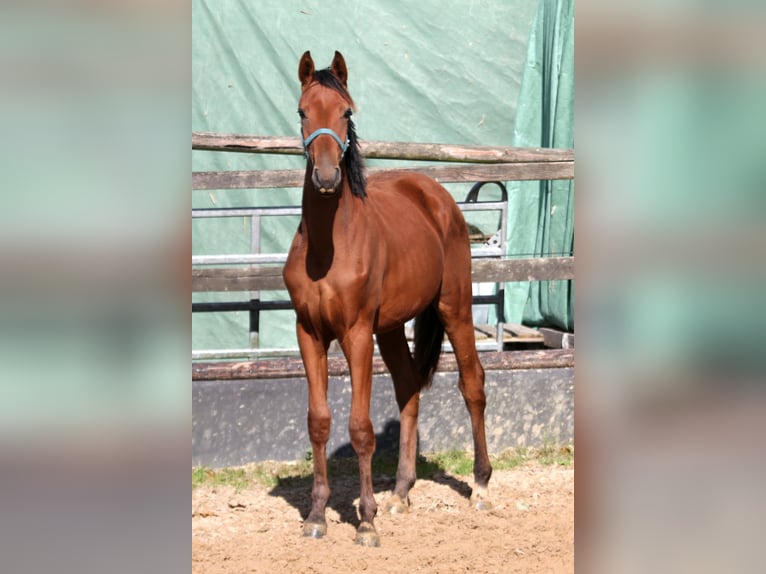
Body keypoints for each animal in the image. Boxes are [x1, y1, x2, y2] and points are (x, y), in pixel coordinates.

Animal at [284, 50, 496, 548]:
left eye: (347, 113)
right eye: (302, 112)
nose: (326, 177)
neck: (328, 247)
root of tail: (435, 195)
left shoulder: (357, 333)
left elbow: (360, 428)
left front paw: (366, 522)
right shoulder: (310, 333)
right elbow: (318, 421)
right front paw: (317, 516)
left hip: (454, 309)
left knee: (472, 384)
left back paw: (480, 485)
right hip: (393, 328)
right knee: (408, 388)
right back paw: (401, 492)